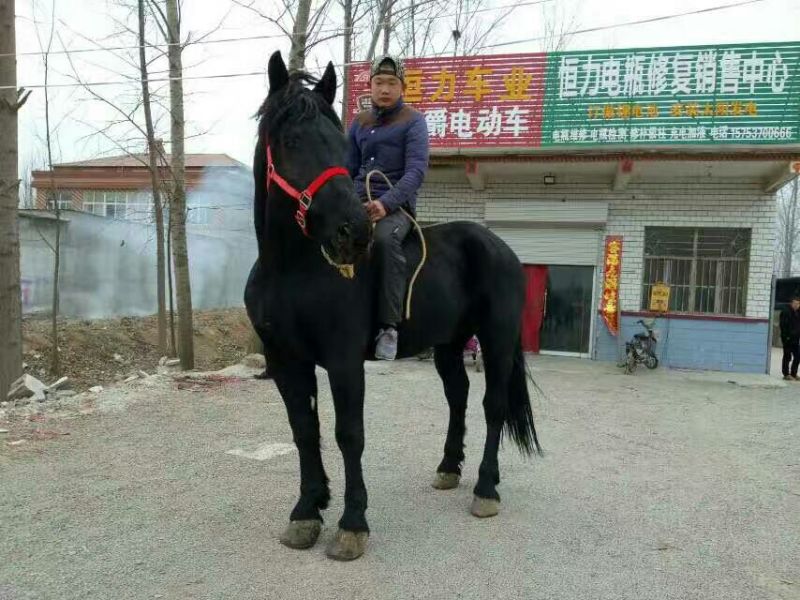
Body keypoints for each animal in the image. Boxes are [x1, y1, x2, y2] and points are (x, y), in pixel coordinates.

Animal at [244, 51, 541, 561]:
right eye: (292, 140)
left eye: (337, 143)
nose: (354, 232)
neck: (292, 269)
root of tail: (499, 246)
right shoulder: (285, 361)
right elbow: (304, 430)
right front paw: (307, 511)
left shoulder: (343, 360)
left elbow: (348, 435)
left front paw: (352, 523)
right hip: (449, 344)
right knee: (458, 397)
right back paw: (449, 469)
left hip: (498, 339)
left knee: (493, 406)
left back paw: (486, 489)